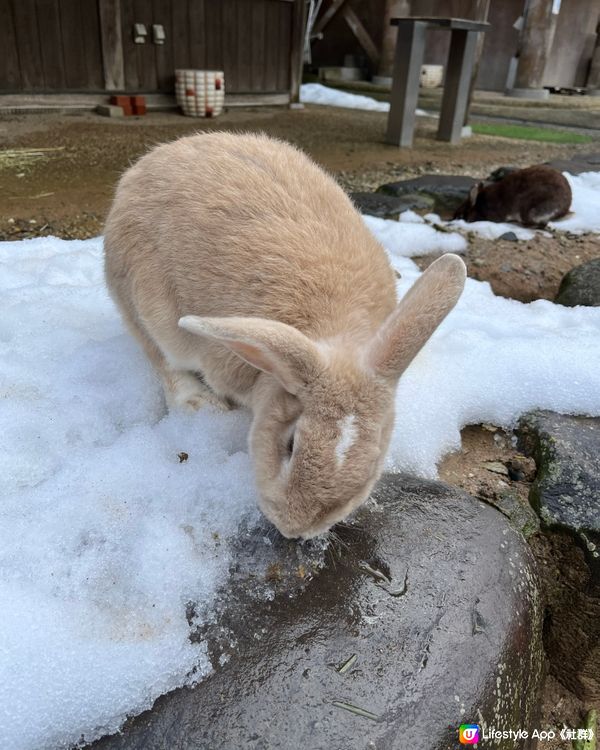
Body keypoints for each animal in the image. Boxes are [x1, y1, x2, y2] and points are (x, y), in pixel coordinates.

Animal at [105, 131, 466, 540]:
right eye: (291, 444)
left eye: (372, 465)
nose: (293, 528)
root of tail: (142, 168)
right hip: (147, 304)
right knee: (159, 356)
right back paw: (199, 403)